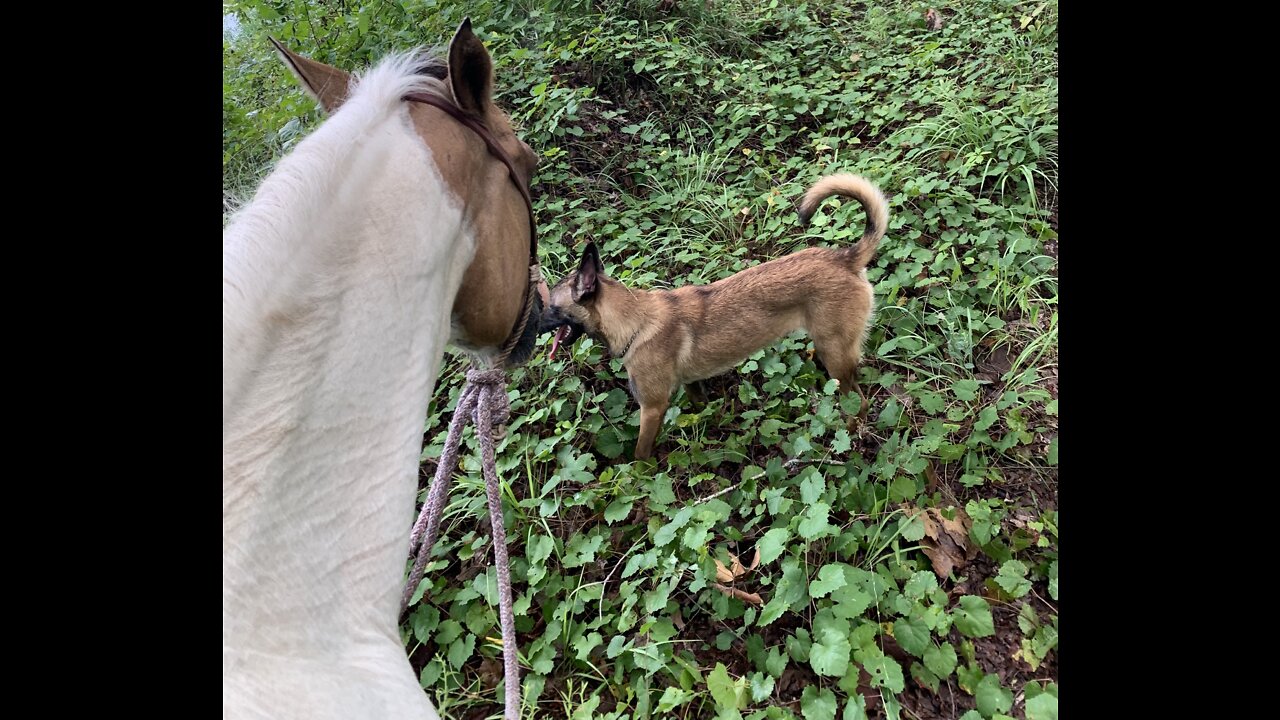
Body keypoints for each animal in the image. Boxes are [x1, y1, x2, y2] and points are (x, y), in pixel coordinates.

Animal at [540, 170, 890, 456]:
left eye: (551, 306)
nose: (531, 322)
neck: (636, 322)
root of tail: (845, 258)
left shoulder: (651, 408)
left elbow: (640, 457)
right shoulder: (692, 387)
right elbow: (703, 410)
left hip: (834, 355)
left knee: (858, 402)